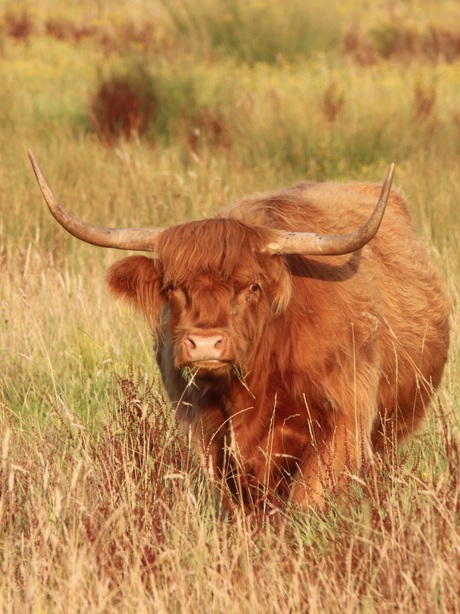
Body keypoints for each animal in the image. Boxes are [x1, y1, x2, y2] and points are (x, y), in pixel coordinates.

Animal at [28, 152, 450, 512]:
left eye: (252, 287)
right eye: (172, 287)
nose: (205, 343)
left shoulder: (343, 425)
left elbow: (307, 503)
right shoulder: (207, 435)